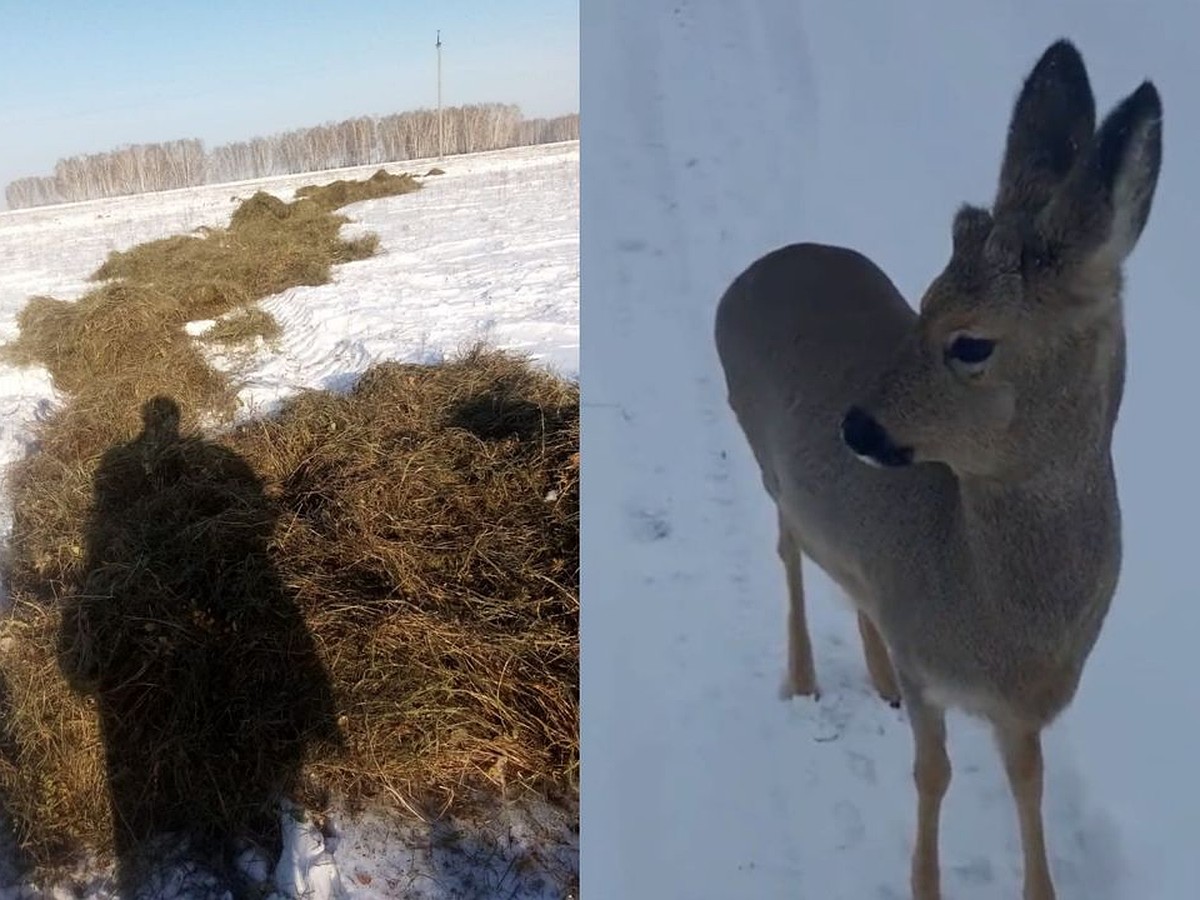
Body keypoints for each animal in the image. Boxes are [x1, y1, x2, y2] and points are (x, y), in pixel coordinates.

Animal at [710, 37, 1161, 900]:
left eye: (971, 341)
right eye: (921, 300)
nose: (853, 423)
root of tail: (759, 268)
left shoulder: (1023, 706)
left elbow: (1027, 781)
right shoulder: (933, 670)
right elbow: (933, 773)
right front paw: (924, 883)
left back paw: (873, 674)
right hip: (756, 443)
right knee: (789, 547)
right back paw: (804, 678)